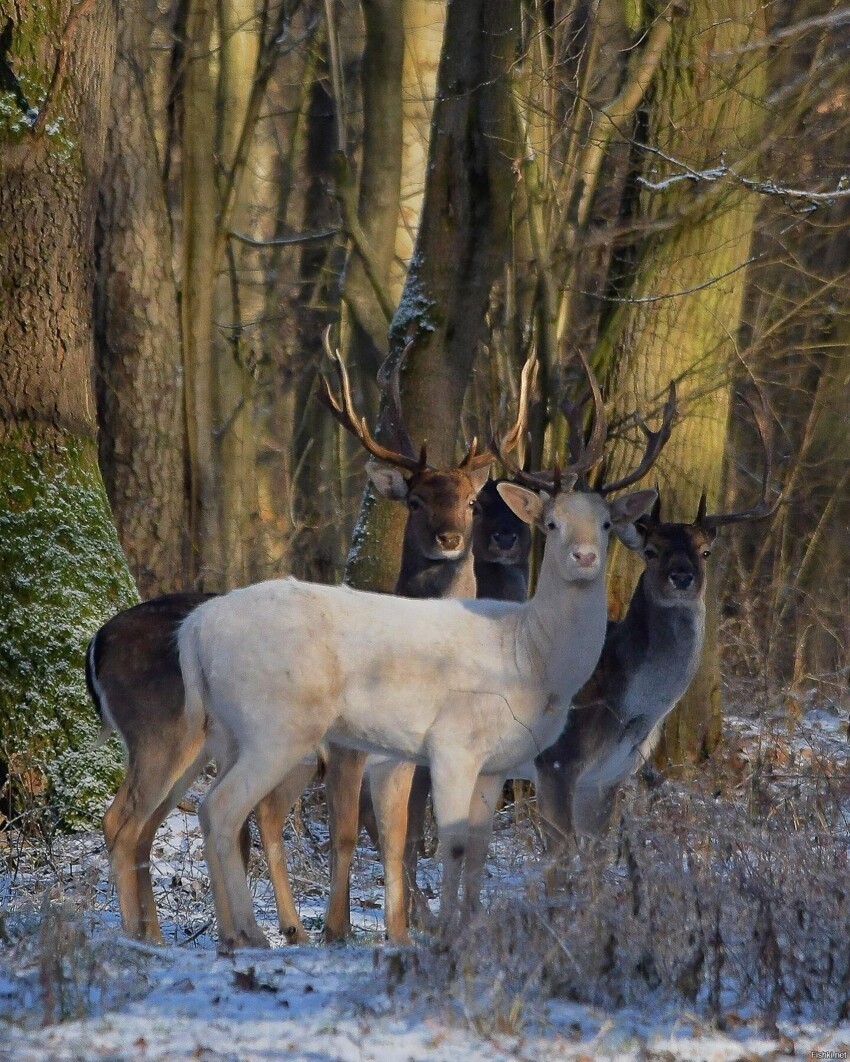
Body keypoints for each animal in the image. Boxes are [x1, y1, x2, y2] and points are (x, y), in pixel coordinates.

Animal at [535, 386, 782, 883]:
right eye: (650, 551)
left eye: (705, 551)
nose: (682, 577)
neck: (629, 711)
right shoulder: (557, 760)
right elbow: (559, 869)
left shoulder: (606, 778)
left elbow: (595, 867)